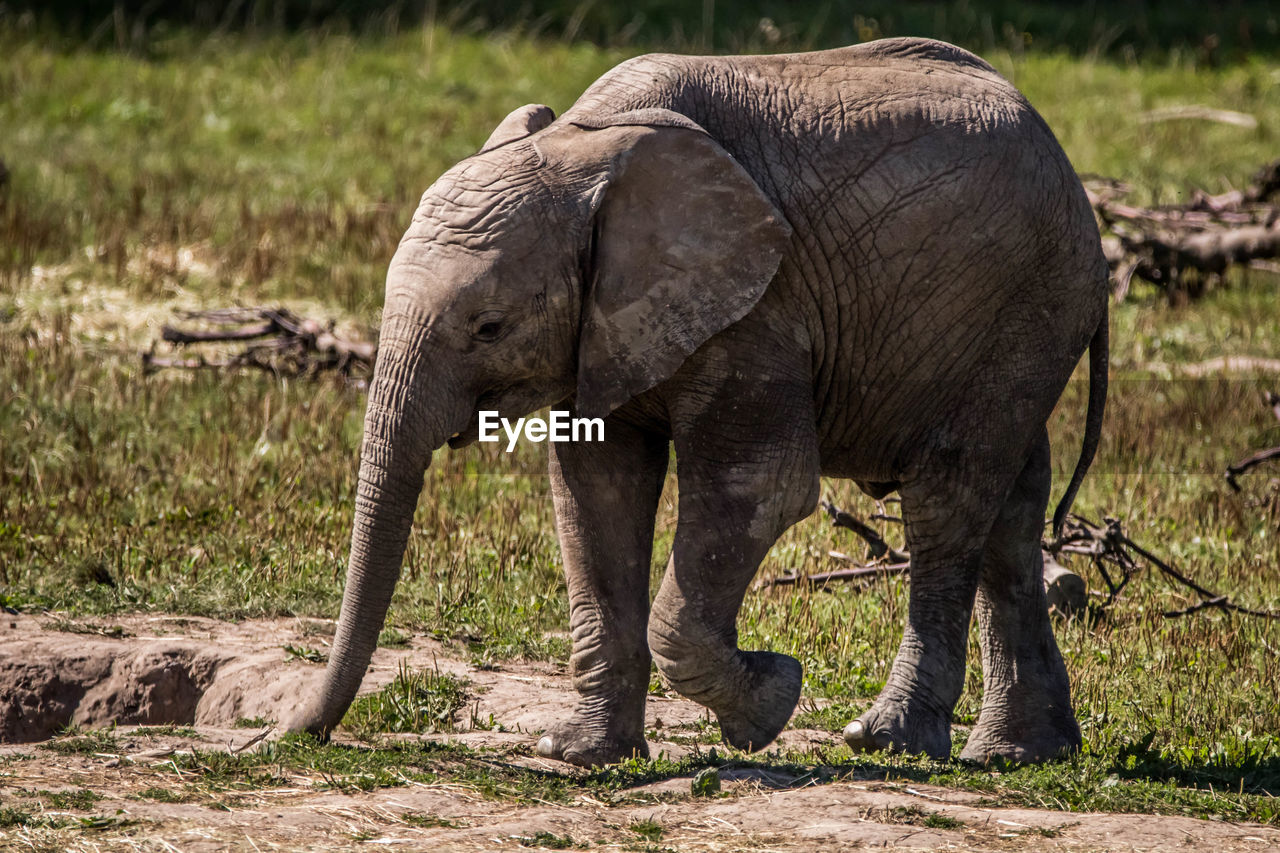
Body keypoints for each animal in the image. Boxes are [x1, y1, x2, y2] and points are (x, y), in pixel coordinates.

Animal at [285, 36, 1105, 763]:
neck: (585, 144)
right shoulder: (611, 321)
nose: (292, 734)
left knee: (947, 501)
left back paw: (888, 740)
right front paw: (581, 753)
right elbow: (595, 489)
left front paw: (772, 700)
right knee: (1010, 510)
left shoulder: (762, 308)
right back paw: (1019, 754)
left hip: (1023, 306)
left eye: (489, 326)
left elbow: (761, 485)